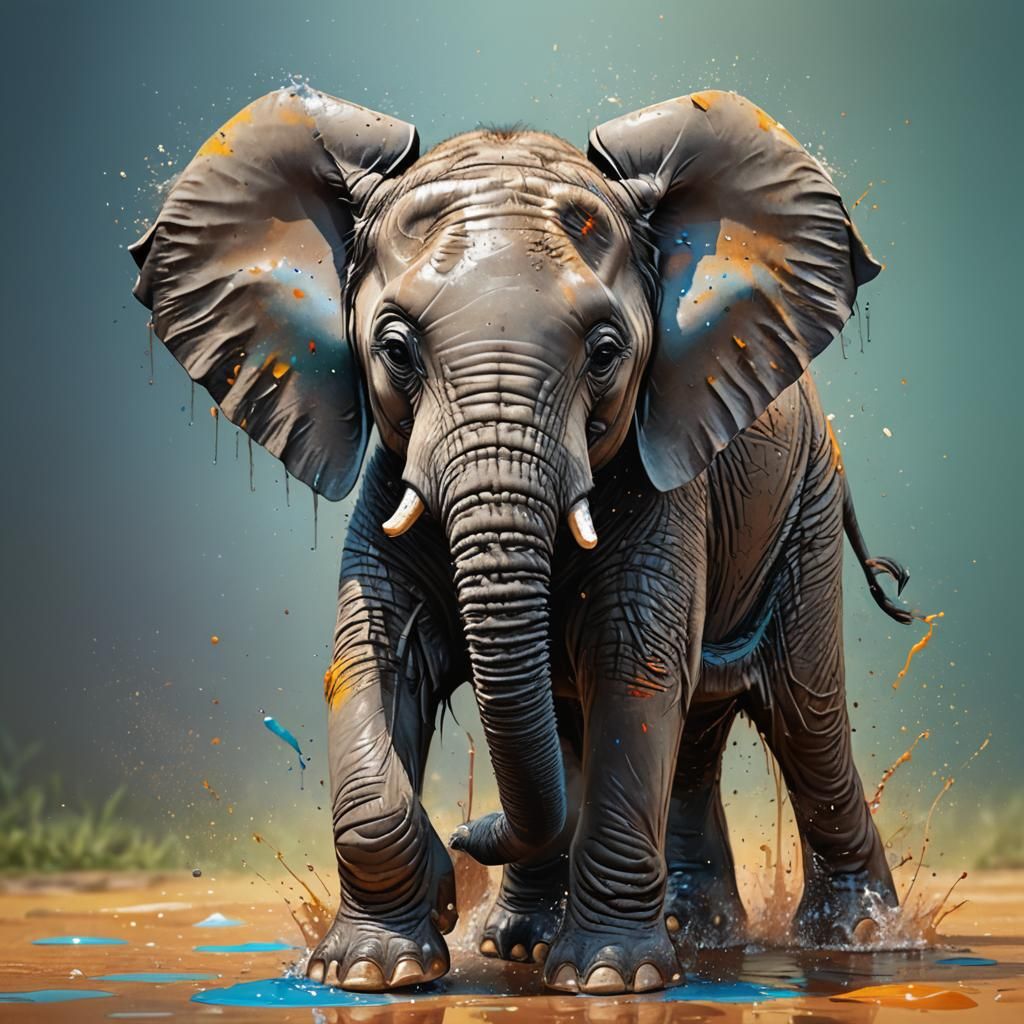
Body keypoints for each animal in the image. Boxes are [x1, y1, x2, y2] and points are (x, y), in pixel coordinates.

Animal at [130, 84, 913, 996]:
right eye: (393, 349)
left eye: (605, 353)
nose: (461, 839)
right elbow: (371, 659)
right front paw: (372, 969)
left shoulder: (665, 484)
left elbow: (633, 667)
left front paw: (607, 979)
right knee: (661, 734)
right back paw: (590, 941)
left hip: (807, 509)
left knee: (803, 718)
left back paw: (858, 940)